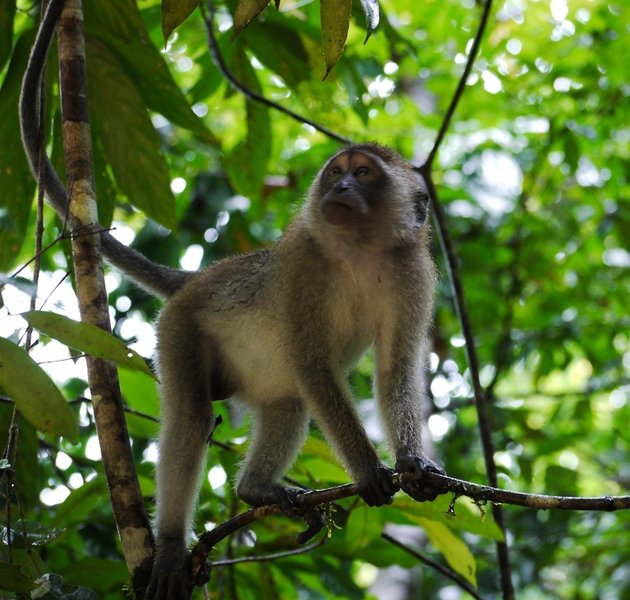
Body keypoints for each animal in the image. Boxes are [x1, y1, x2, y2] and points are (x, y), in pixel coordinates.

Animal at [19, 2, 444, 596]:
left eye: (363, 174)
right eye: (336, 173)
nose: (339, 189)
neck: (359, 252)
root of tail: (198, 279)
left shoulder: (413, 274)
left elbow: (394, 369)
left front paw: (411, 463)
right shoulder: (303, 263)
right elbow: (314, 364)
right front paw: (367, 470)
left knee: (288, 400)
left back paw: (255, 490)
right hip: (178, 327)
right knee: (195, 416)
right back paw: (172, 544)